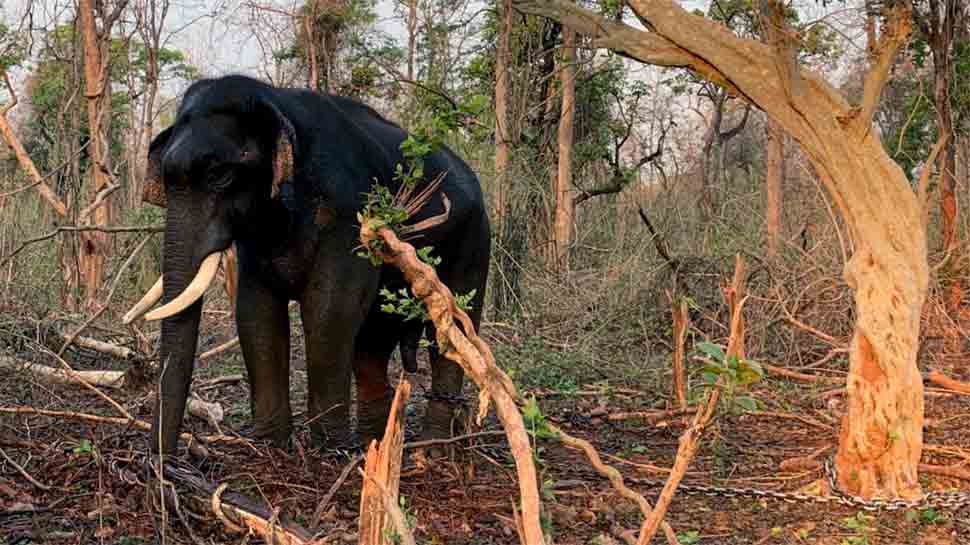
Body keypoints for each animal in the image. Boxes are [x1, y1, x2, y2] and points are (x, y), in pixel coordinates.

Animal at [125, 73, 492, 454]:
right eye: (167, 181)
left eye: (220, 176)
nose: (163, 459)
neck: (277, 103)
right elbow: (255, 311)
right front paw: (270, 445)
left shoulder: (348, 217)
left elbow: (329, 310)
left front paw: (328, 450)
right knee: (372, 341)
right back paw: (373, 442)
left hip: (474, 240)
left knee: (451, 330)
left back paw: (431, 446)